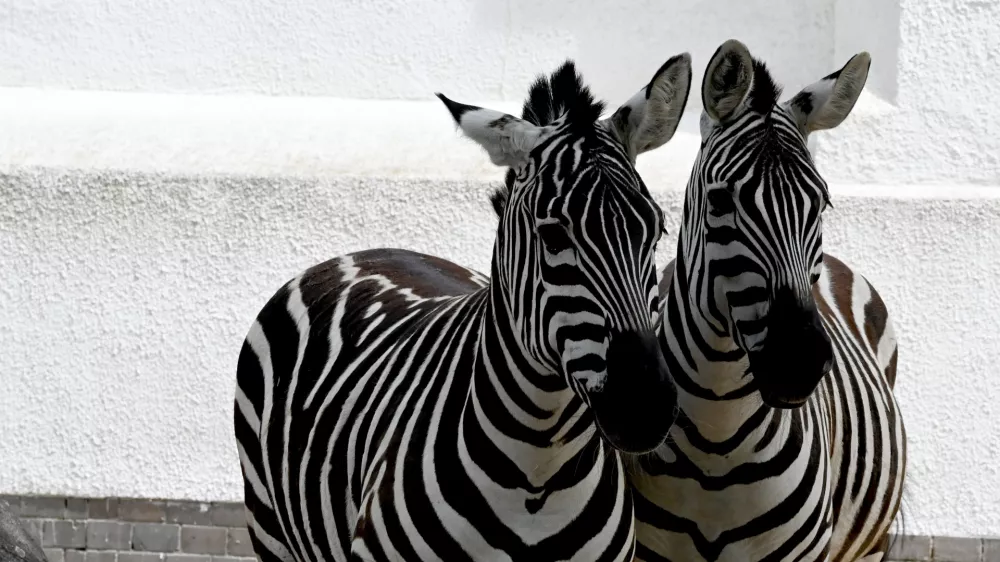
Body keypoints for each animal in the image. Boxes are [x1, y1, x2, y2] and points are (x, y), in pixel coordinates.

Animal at [234, 56, 694, 562]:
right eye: (553, 235)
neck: (539, 470)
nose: (645, 406)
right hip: (269, 528)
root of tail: (372, 251)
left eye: (658, 230)